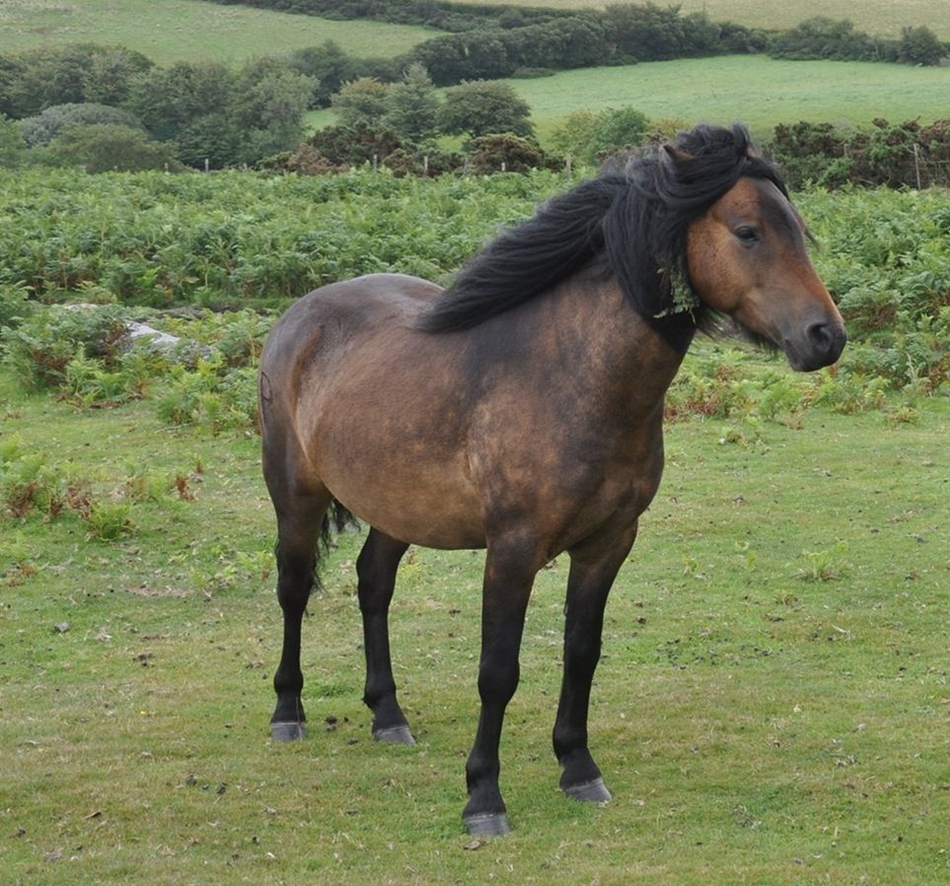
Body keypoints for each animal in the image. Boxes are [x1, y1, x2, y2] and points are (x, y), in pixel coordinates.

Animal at [257, 123, 846, 837]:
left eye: (797, 228)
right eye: (748, 231)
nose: (826, 336)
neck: (571, 375)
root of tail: (299, 316)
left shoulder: (608, 544)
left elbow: (581, 652)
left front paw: (578, 768)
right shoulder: (513, 551)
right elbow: (497, 671)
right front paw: (484, 797)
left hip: (397, 508)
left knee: (374, 584)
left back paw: (388, 716)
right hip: (297, 495)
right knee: (293, 590)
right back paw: (288, 713)